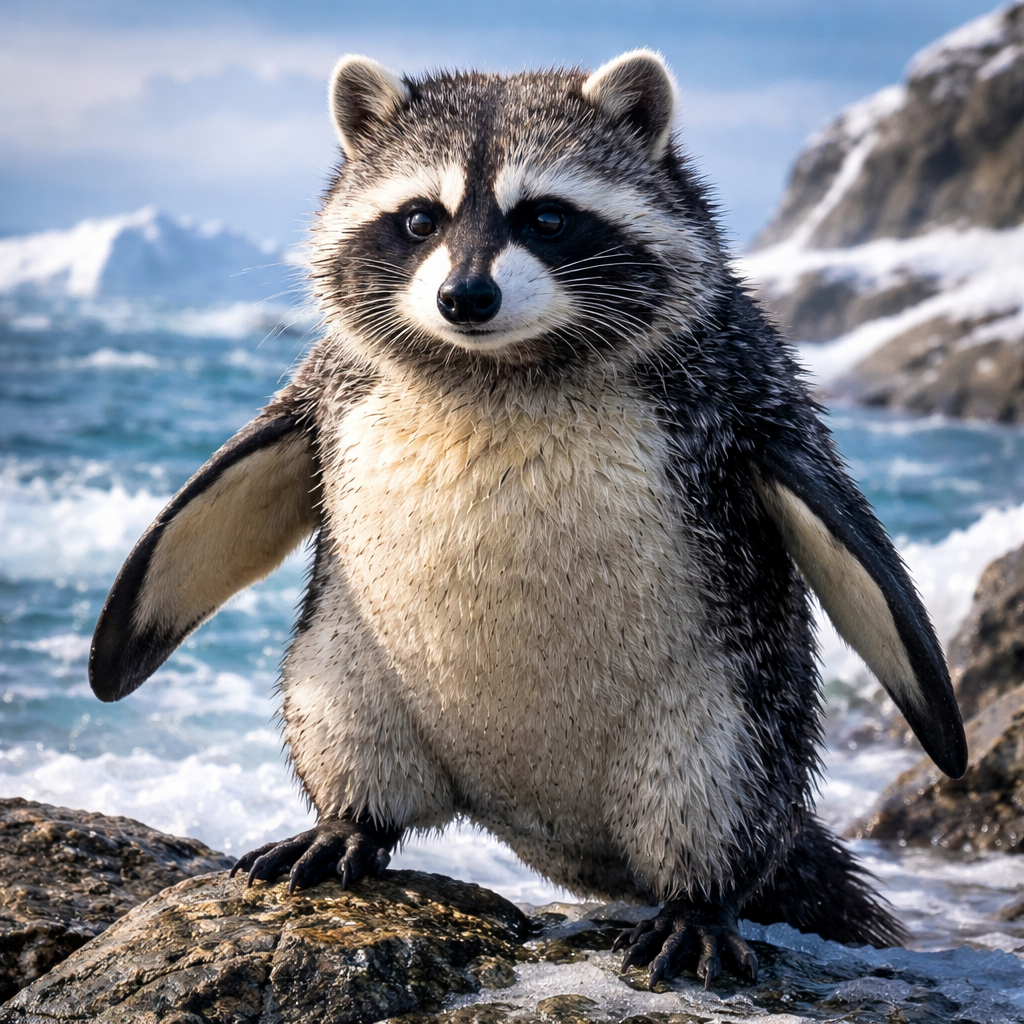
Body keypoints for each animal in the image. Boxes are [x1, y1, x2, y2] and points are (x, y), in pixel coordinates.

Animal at [90, 51, 967, 989]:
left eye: (547, 217)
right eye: (417, 219)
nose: (465, 296)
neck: (499, 375)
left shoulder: (745, 385)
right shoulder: (329, 384)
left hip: (720, 731)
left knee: (719, 828)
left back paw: (694, 916)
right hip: (346, 669)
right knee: (360, 766)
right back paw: (339, 834)